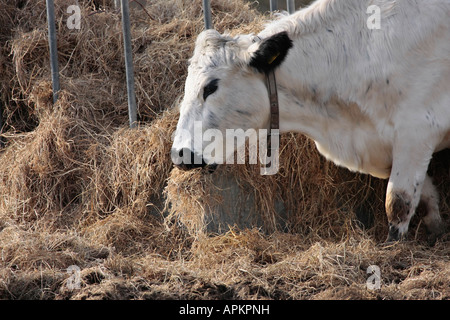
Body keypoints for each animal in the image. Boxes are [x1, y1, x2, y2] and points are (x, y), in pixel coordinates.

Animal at [171, 0, 448, 242]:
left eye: (210, 87)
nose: (179, 154)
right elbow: (426, 194)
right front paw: (437, 227)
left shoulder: (415, 131)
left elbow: (398, 203)